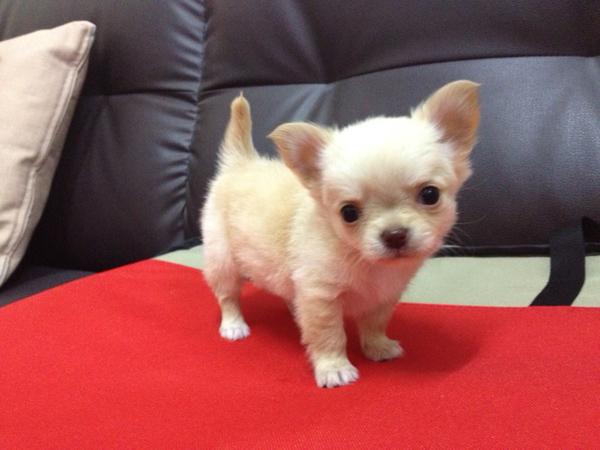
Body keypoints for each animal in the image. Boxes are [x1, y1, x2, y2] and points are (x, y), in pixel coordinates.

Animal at [200, 80, 480, 387]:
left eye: (430, 195)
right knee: (228, 296)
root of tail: (242, 163)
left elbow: (374, 324)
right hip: (222, 259)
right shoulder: (321, 296)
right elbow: (329, 335)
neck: (362, 259)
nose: (394, 234)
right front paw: (333, 368)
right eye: (349, 213)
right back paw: (234, 325)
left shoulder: (383, 298)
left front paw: (378, 347)